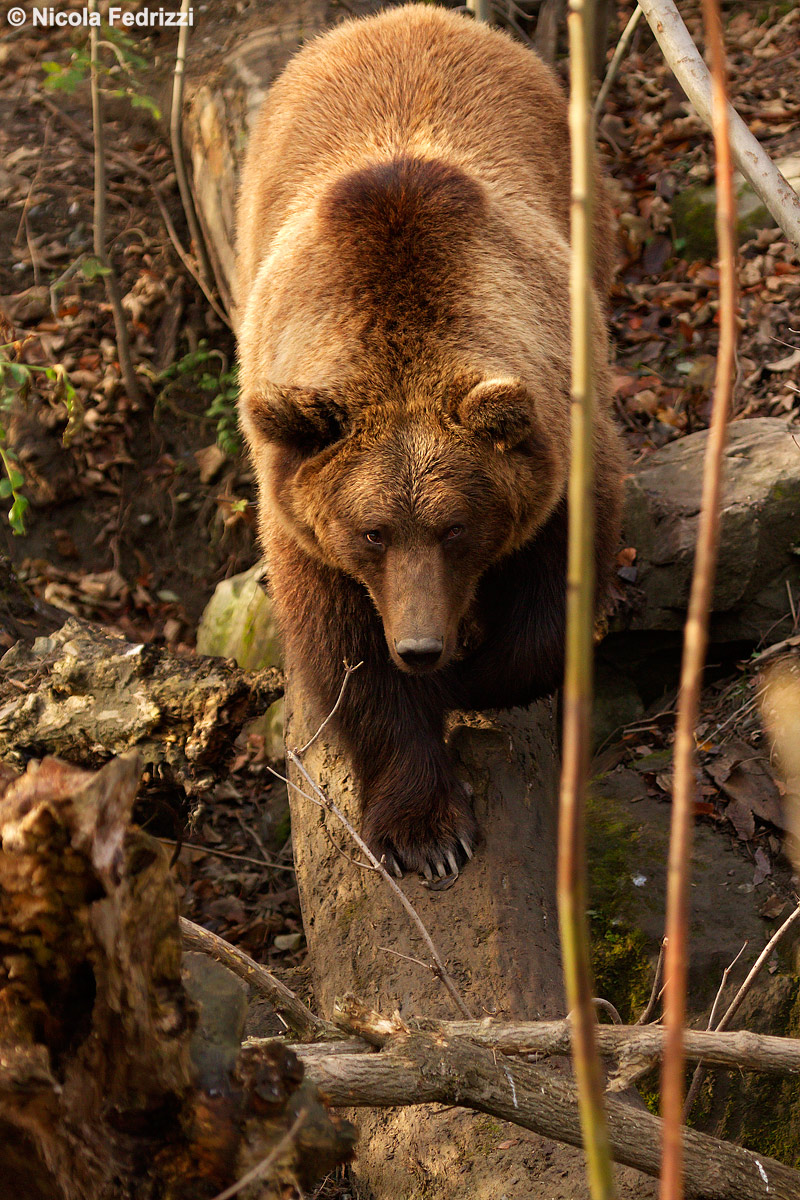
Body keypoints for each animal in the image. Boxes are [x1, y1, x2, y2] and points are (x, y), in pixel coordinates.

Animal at [236, 3, 623, 879]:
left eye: (456, 527)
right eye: (372, 531)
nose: (420, 644)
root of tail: (410, 16)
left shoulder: (560, 444)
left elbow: (550, 609)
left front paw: (471, 674)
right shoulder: (303, 515)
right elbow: (350, 659)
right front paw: (426, 831)